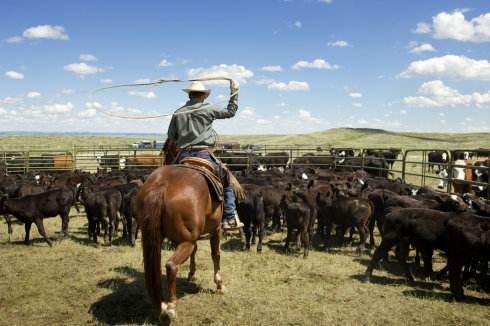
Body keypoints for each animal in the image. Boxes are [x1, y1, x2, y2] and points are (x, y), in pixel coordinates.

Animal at [136, 139, 224, 320]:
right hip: (186, 241)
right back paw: (171, 306)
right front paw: (219, 284)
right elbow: (216, 254)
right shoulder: (216, 228)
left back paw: (160, 303)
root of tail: (161, 186)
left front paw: (191, 274)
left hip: (155, 239)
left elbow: (195, 252)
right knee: (171, 266)